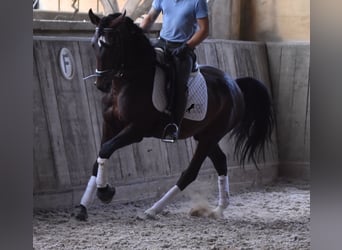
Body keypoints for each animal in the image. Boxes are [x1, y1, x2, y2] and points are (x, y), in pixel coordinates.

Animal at [73, 9, 274, 221]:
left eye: (111, 45)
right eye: (94, 44)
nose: (101, 84)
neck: (127, 83)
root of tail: (235, 84)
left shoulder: (136, 130)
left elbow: (105, 150)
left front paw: (105, 192)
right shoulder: (109, 124)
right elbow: (99, 157)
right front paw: (83, 207)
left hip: (211, 136)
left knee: (190, 173)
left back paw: (153, 210)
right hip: (205, 135)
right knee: (221, 161)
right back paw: (218, 210)